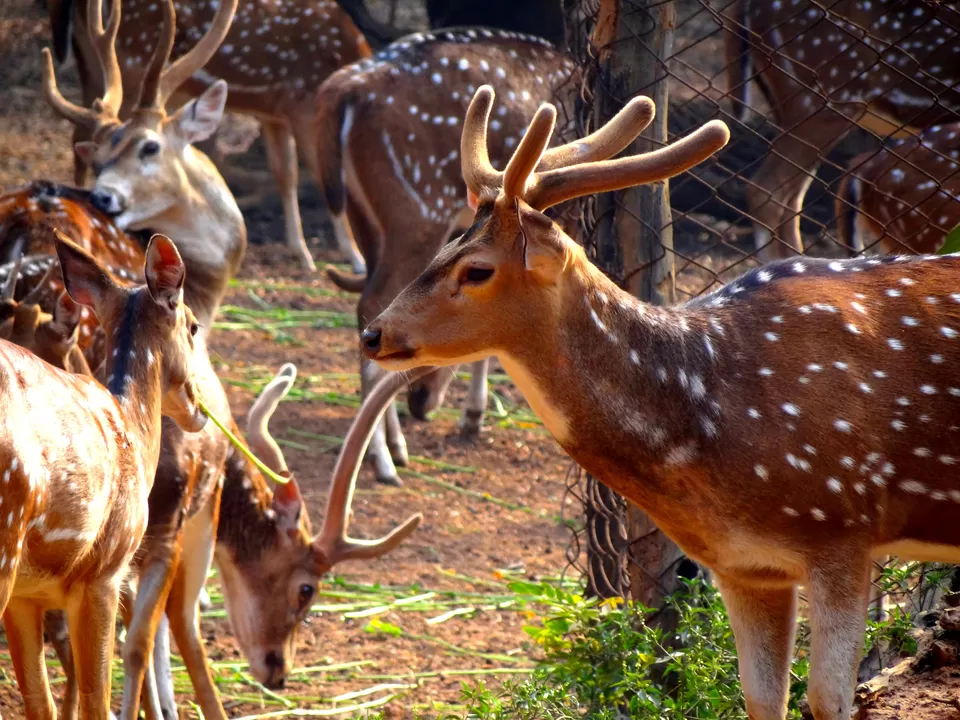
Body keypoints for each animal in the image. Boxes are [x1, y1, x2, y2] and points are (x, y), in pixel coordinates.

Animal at [0, 229, 205, 719]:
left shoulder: (26, 596)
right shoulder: (105, 573)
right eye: (193, 325)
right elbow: (96, 700)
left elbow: (41, 704)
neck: (131, 424)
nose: (200, 409)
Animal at [46, 0, 374, 273]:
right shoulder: (300, 103)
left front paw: (303, 253)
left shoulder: (276, 112)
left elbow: (287, 174)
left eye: (151, 148)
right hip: (131, 65)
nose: (102, 198)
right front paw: (354, 258)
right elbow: (324, 177)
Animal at [313, 26, 578, 484]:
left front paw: (472, 415)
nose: (419, 402)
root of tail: (344, 87)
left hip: (364, 215)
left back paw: (392, 443)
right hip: (420, 205)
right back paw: (383, 458)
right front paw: (472, 415)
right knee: (371, 302)